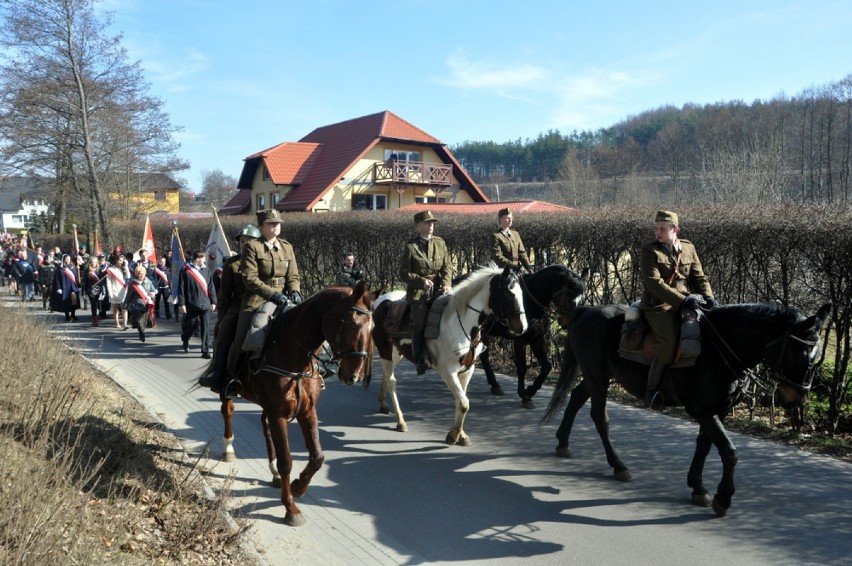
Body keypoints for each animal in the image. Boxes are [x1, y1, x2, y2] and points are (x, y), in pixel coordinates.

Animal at [218, 282, 378, 528]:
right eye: (353, 324)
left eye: (374, 327)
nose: (355, 376)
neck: (294, 355)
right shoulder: (279, 415)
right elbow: (287, 461)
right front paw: (290, 508)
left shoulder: (307, 411)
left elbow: (318, 457)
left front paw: (299, 486)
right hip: (228, 387)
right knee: (228, 411)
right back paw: (229, 450)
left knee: (264, 425)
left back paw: (273, 472)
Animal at [372, 266, 524, 448]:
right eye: (509, 293)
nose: (522, 327)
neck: (462, 324)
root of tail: (380, 301)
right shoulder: (448, 372)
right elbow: (464, 403)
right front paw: (453, 435)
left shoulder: (467, 371)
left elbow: (460, 402)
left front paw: (461, 435)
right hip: (386, 351)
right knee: (392, 381)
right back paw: (400, 421)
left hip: (396, 353)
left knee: (386, 377)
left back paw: (382, 404)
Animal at [480, 266, 584, 408]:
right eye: (569, 296)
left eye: (580, 299)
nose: (570, 323)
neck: (531, 303)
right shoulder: (520, 340)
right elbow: (522, 367)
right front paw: (524, 395)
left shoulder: (537, 339)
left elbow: (547, 366)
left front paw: (530, 391)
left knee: (484, 357)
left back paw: (495, 385)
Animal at [544, 302, 828, 520]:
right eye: (797, 352)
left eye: (815, 355)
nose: (798, 398)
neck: (718, 350)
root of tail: (586, 311)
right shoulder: (702, 410)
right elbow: (729, 451)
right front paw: (723, 498)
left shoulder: (718, 411)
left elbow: (704, 446)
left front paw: (698, 487)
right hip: (598, 377)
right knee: (599, 418)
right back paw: (618, 465)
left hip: (596, 378)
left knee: (576, 399)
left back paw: (562, 442)